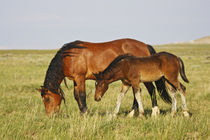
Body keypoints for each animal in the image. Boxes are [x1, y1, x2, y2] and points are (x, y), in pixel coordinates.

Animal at [37, 38, 171, 116]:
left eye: (47, 99)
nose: (50, 116)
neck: (69, 57)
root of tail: (144, 45)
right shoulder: (76, 79)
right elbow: (76, 96)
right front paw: (82, 112)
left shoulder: (80, 78)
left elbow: (81, 95)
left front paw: (85, 113)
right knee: (136, 93)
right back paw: (132, 113)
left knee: (151, 90)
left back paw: (154, 112)